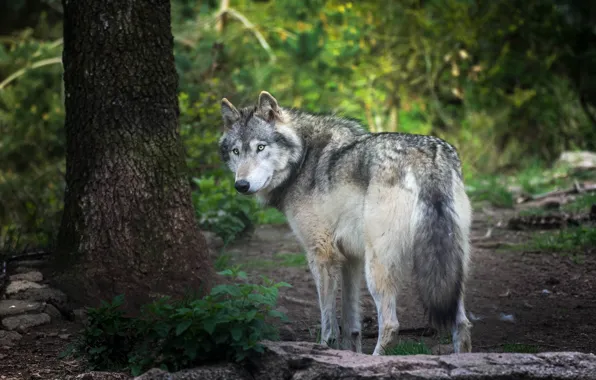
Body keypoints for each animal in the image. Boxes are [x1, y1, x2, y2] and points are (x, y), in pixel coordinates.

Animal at [217, 90, 472, 354]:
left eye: (260, 147)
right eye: (236, 151)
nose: (241, 185)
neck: (302, 159)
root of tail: (428, 158)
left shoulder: (321, 255)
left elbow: (328, 323)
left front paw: (324, 349)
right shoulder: (351, 258)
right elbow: (351, 324)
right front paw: (351, 353)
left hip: (377, 268)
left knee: (391, 325)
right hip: (450, 266)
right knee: (461, 323)